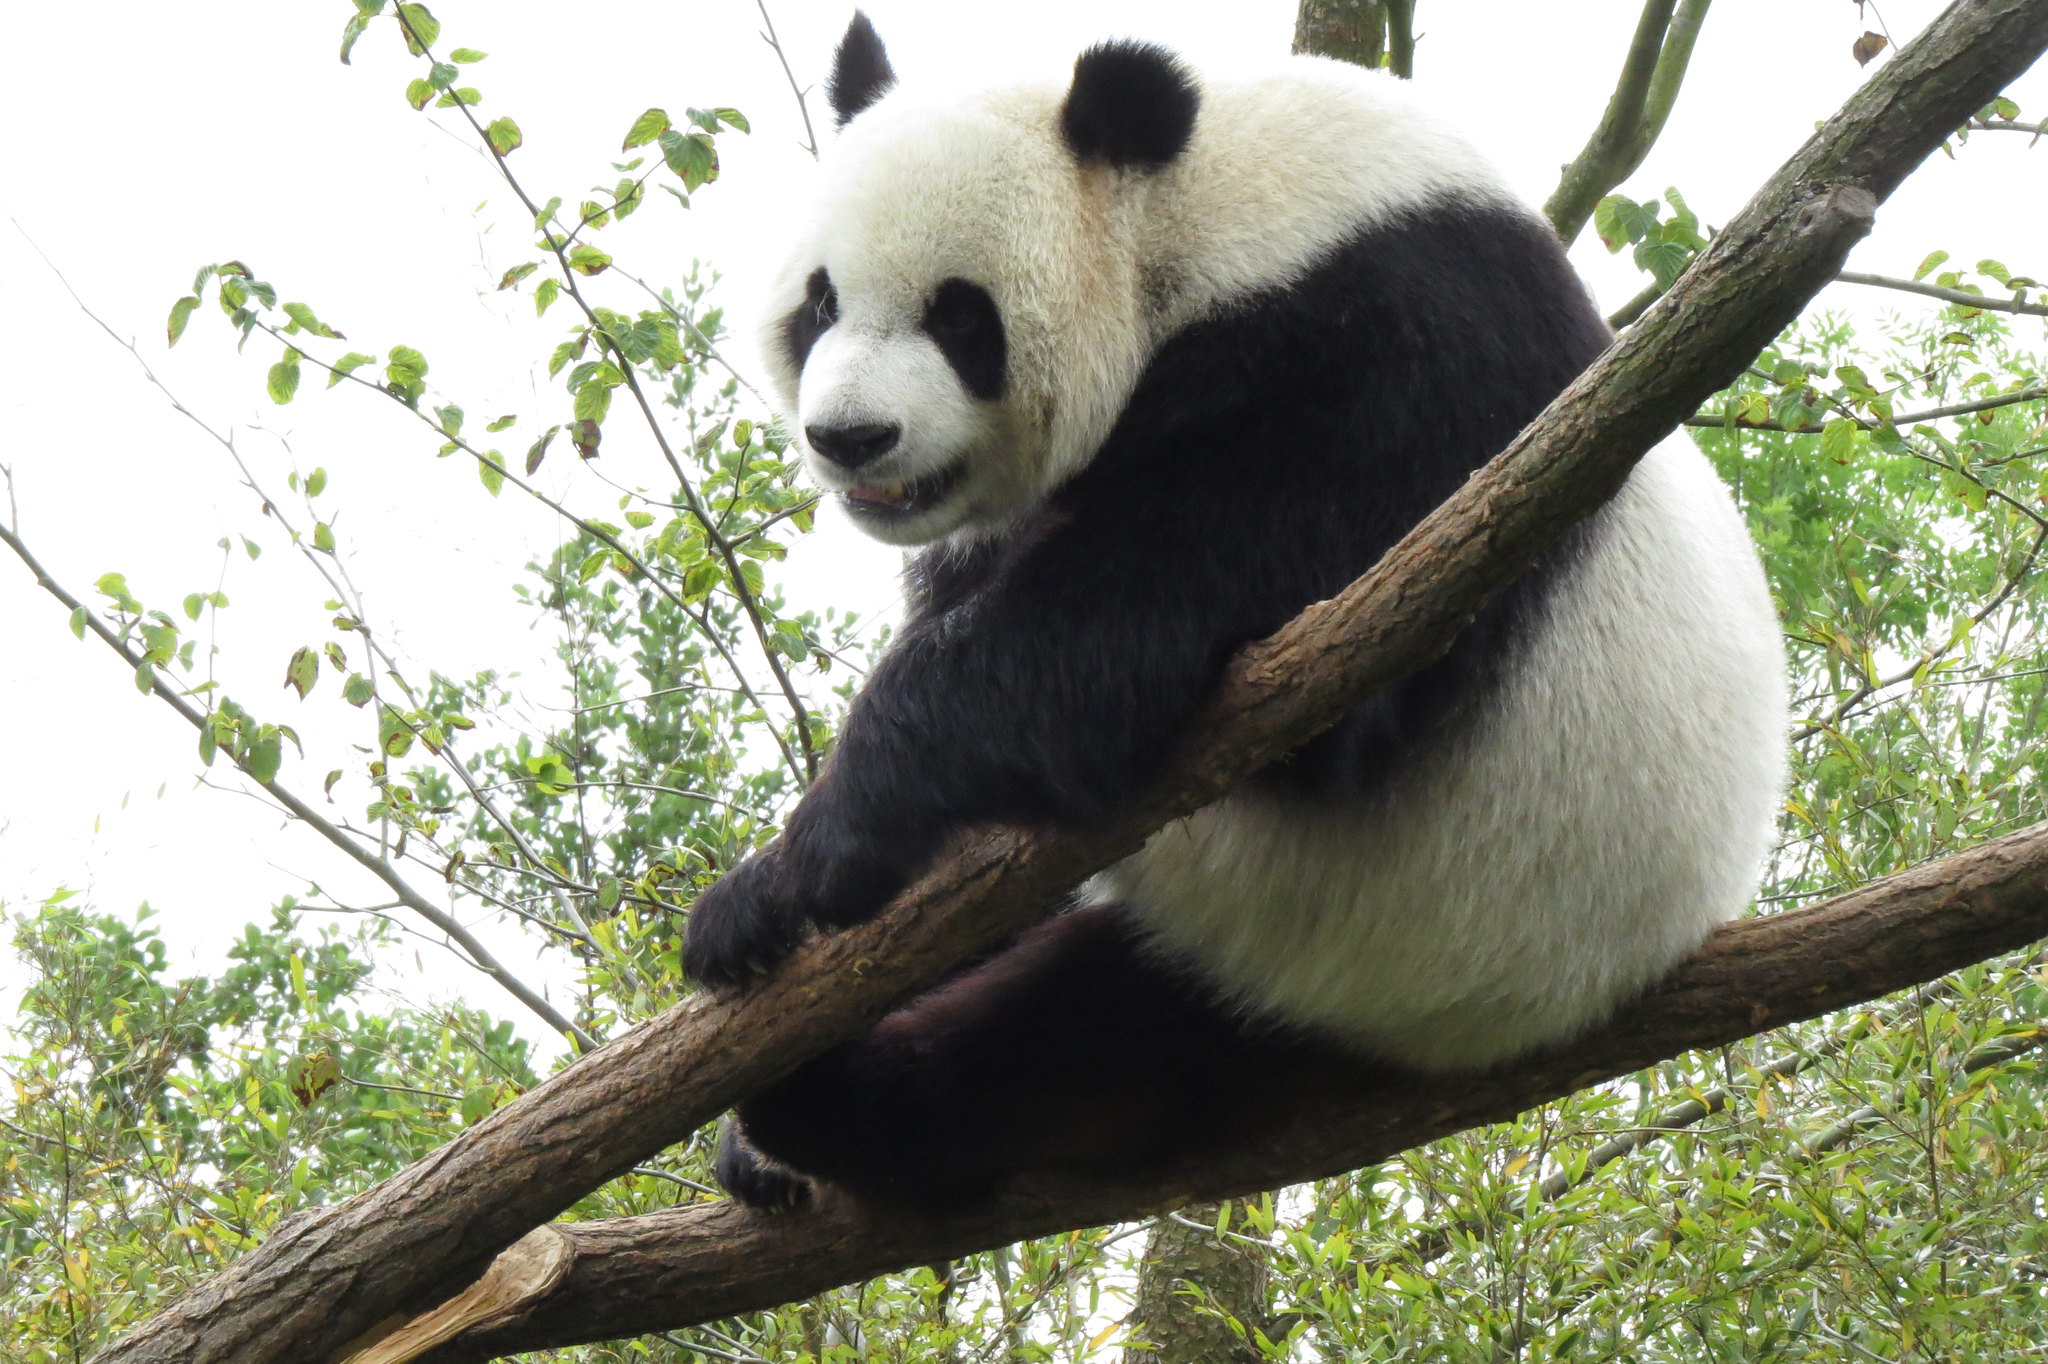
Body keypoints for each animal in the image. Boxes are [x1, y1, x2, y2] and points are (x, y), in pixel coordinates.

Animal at [679, 7, 1785, 1204]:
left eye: (960, 319)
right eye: (820, 302)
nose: (850, 438)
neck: (1198, 221)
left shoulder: (1405, 353)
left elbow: (1144, 628)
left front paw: (808, 860)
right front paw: (766, 903)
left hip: (1404, 958)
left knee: (1067, 1053)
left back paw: (820, 1103)